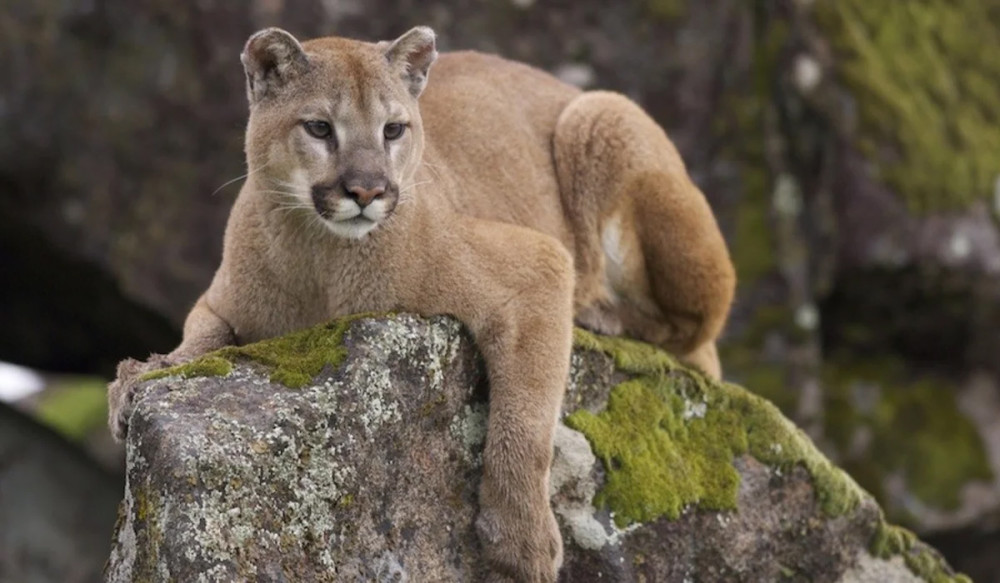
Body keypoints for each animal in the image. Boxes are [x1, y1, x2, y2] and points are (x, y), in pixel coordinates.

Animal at [107, 25, 736, 580]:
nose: (367, 190)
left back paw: (599, 312)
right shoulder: (219, 300)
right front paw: (143, 376)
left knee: (695, 336)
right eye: (319, 127)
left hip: (602, 116)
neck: (322, 259)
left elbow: (526, 420)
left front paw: (521, 540)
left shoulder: (539, 265)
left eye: (393, 129)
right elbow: (201, 338)